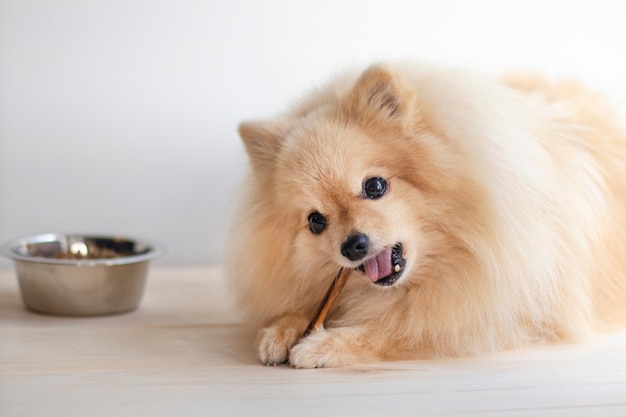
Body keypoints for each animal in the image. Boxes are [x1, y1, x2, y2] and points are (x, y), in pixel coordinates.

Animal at [227, 61, 624, 368]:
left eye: (374, 186)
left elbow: (402, 328)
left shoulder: (508, 315)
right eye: (315, 221)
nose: (353, 245)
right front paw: (281, 328)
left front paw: (324, 345)